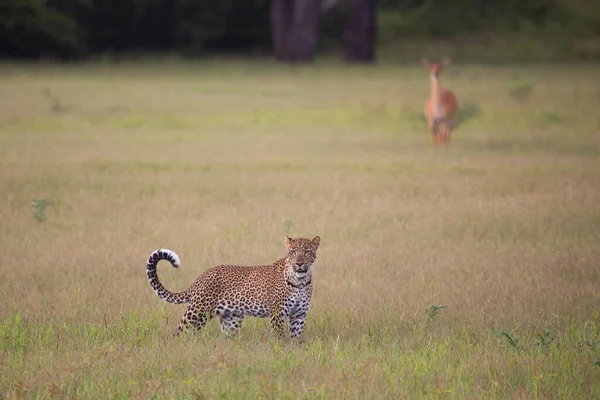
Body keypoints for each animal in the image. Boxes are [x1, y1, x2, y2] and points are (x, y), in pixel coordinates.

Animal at [147, 234, 322, 340]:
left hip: (232, 319)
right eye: (292, 252)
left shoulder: (299, 316)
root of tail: (201, 277)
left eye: (307, 251)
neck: (300, 282)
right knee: (180, 332)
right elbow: (279, 337)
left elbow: (296, 339)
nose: (299, 263)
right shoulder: (278, 314)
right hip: (197, 312)